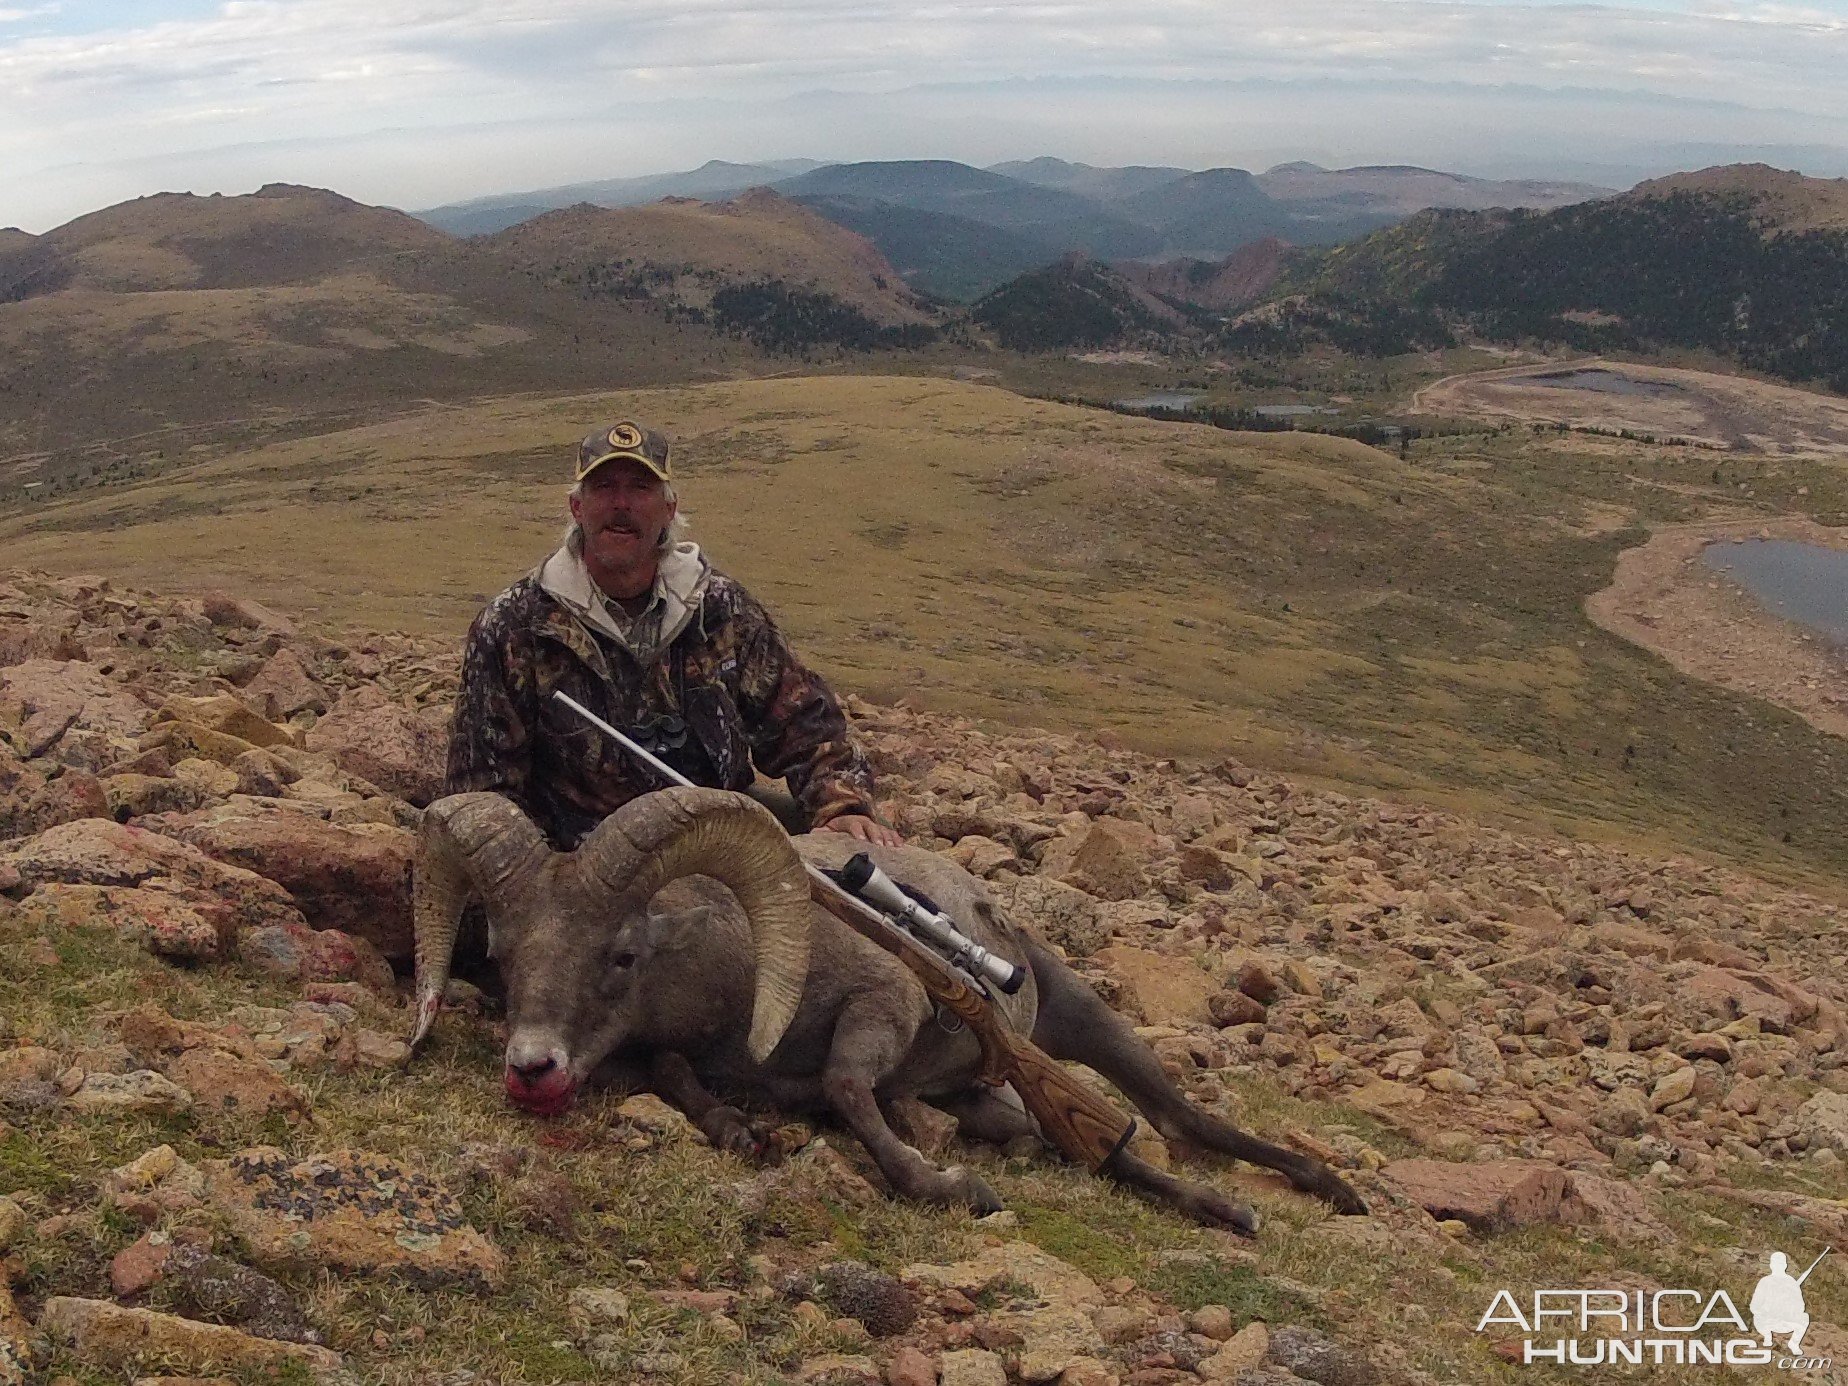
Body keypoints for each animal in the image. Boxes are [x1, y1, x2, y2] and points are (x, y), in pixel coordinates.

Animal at [415, 787, 1374, 1234]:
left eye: (621, 955)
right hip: (988, 1094)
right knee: (1104, 1149)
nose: (532, 1072)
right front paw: (736, 1128)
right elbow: (679, 1072)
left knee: (1176, 1121)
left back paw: (1295, 1198)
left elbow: (847, 1087)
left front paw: (953, 1187)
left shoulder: (883, 1006)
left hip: (1087, 1022)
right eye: (506, 955)